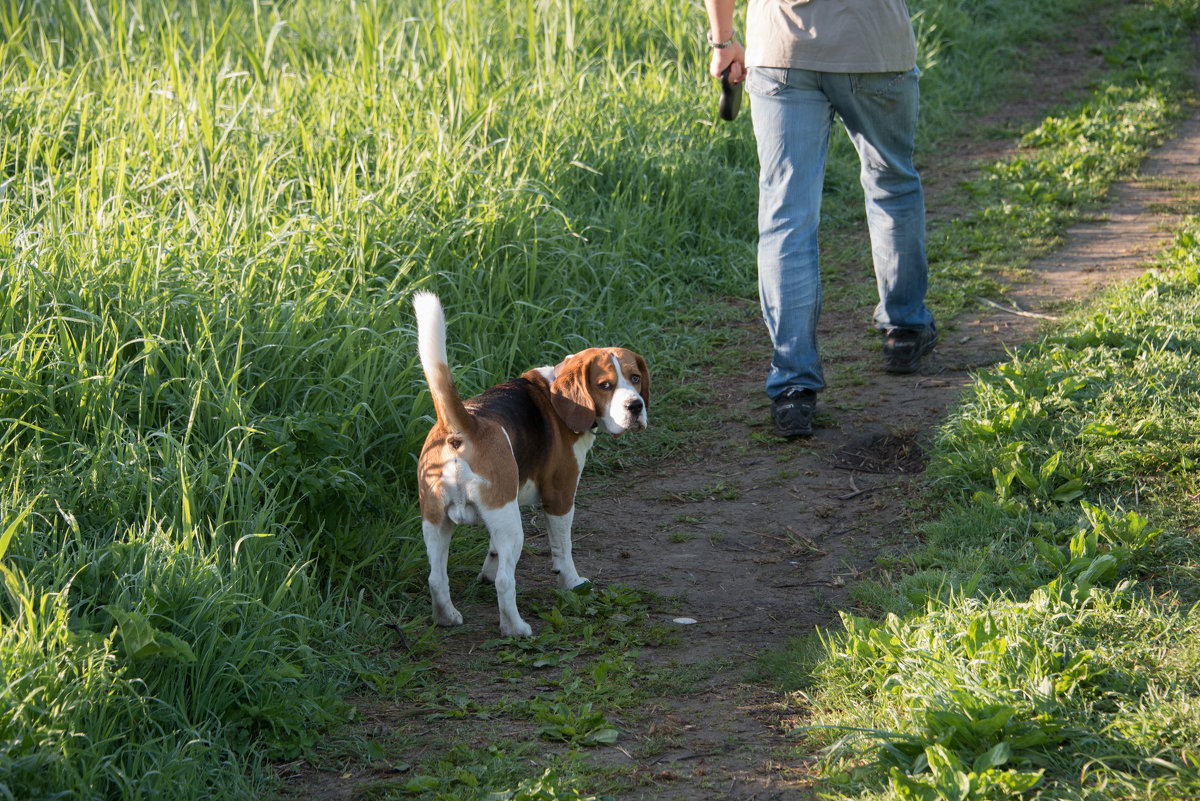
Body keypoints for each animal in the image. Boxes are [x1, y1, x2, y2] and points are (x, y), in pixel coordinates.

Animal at [417, 291, 652, 633]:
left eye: (635, 378)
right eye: (605, 385)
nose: (636, 406)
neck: (555, 394)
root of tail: (463, 426)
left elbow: (492, 550)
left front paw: (486, 571)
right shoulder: (560, 496)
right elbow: (563, 549)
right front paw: (573, 583)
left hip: (436, 521)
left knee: (436, 578)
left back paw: (447, 617)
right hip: (510, 523)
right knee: (505, 582)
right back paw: (515, 629)